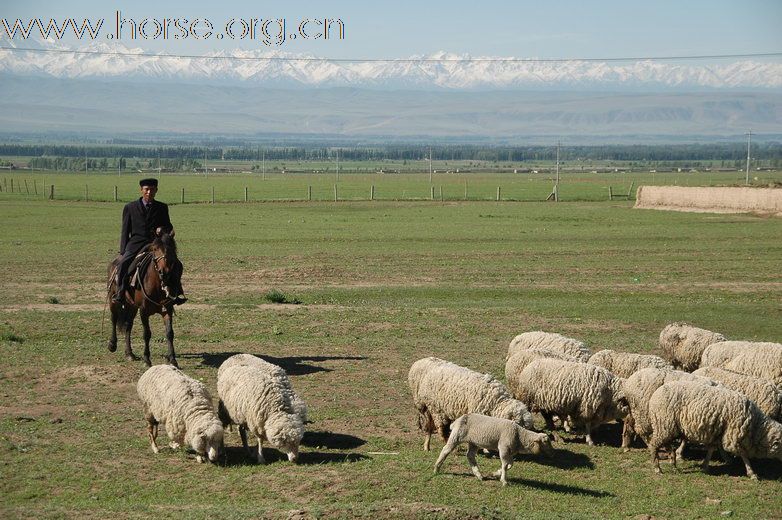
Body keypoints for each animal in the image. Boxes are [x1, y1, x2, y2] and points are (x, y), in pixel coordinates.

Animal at [107, 234, 181, 368]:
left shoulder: (167, 309)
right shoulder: (143, 311)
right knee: (114, 319)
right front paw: (147, 359)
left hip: (132, 306)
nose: (164, 271)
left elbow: (169, 333)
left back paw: (129, 353)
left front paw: (173, 359)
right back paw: (112, 344)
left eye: (171, 248)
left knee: (128, 325)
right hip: (113, 300)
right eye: (155, 249)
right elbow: (147, 334)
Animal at [408, 358, 536, 450]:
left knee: (430, 428)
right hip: (435, 408)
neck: (496, 402)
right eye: (517, 427)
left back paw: (427, 446)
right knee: (440, 428)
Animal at [648, 382, 782, 480]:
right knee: (654, 444)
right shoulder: (733, 435)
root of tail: (655, 394)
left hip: (669, 427)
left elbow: (712, 449)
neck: (755, 426)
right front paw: (752, 473)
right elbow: (743, 454)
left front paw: (705, 466)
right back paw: (657, 468)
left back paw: (673, 462)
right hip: (664, 424)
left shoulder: (718, 432)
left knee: (666, 444)